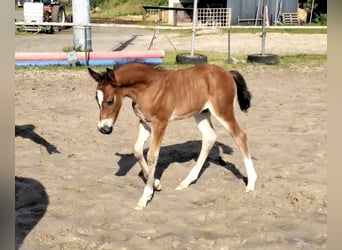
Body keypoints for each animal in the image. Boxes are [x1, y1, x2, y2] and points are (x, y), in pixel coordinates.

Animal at [88, 62, 256, 209]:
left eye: (110, 100)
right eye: (96, 99)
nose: (104, 129)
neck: (148, 88)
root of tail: (227, 72)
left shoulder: (160, 123)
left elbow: (152, 156)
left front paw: (144, 198)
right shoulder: (144, 122)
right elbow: (137, 150)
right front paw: (156, 184)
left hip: (222, 111)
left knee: (240, 136)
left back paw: (251, 183)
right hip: (201, 113)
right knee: (209, 137)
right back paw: (186, 182)